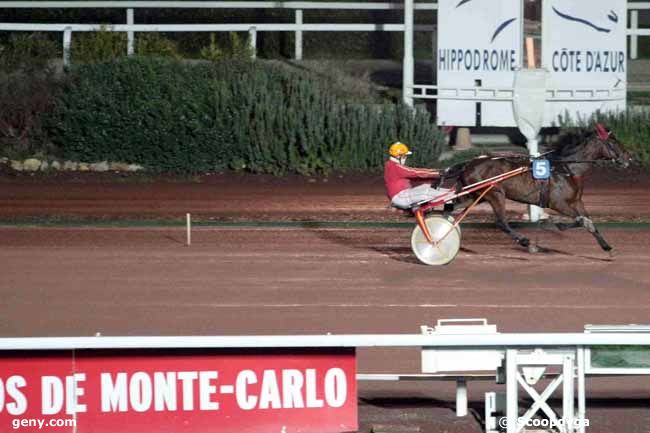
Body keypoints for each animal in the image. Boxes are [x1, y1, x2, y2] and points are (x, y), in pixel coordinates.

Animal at [448, 123, 632, 255]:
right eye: (613, 142)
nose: (628, 159)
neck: (567, 169)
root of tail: (469, 164)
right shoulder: (558, 203)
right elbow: (582, 221)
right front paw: (556, 224)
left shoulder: (577, 202)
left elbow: (589, 221)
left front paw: (607, 247)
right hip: (495, 194)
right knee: (501, 222)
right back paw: (526, 242)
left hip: (476, 195)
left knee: (452, 211)